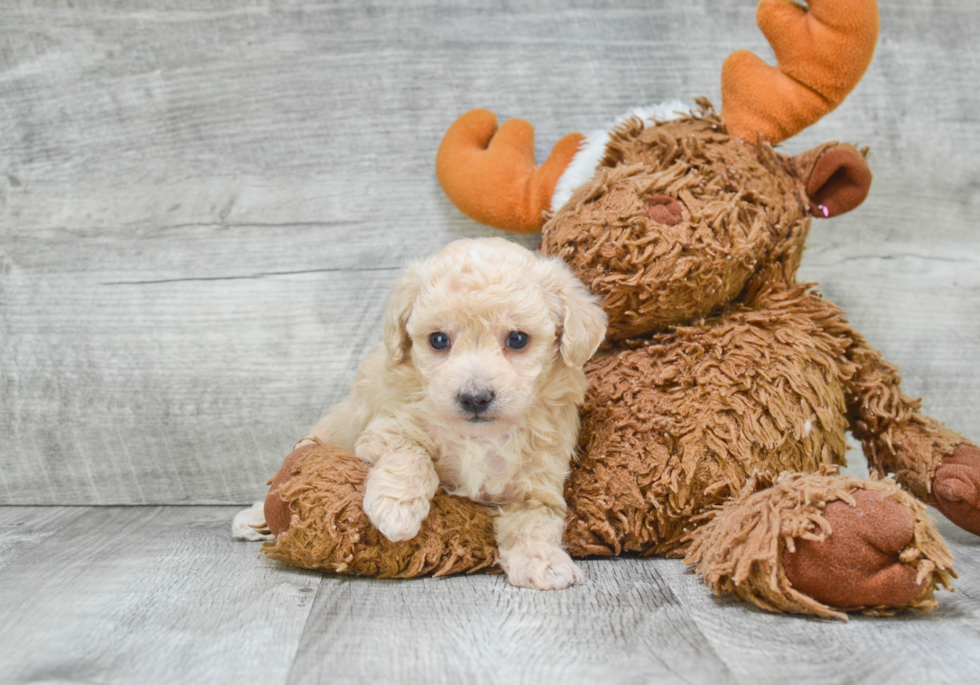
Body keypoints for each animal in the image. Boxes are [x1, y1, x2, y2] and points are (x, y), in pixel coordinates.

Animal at [240, 236, 604, 588]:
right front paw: (397, 509)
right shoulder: (386, 428)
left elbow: (533, 524)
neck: (479, 436)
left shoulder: (537, 484)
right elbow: (411, 452)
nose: (475, 398)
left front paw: (543, 562)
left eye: (517, 339)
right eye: (439, 340)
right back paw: (254, 517)